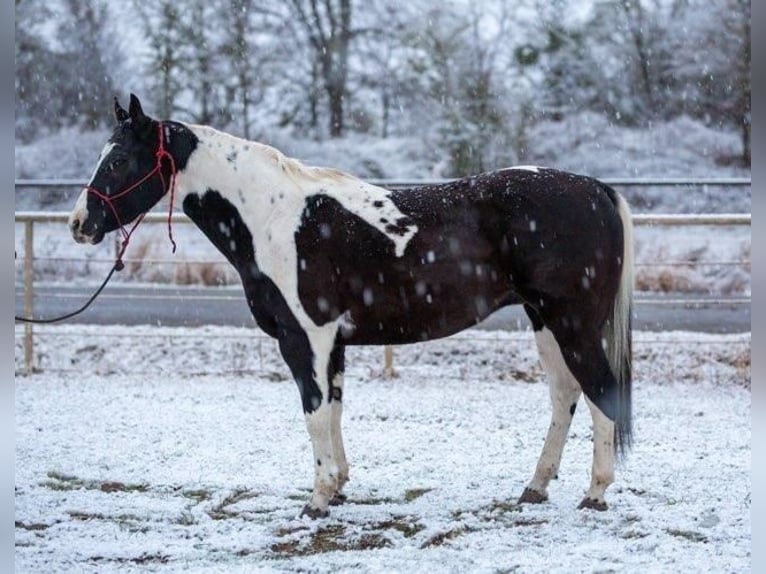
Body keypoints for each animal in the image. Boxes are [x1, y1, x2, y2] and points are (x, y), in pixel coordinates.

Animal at [69, 94, 634, 518]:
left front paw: (316, 500)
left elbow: (315, 413)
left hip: (573, 324)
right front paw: (338, 486)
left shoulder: (306, 338)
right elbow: (335, 410)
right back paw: (535, 488)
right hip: (545, 322)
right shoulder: (333, 344)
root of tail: (596, 190)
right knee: (565, 395)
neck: (274, 217)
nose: (80, 224)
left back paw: (595, 493)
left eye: (118, 159)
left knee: (600, 393)